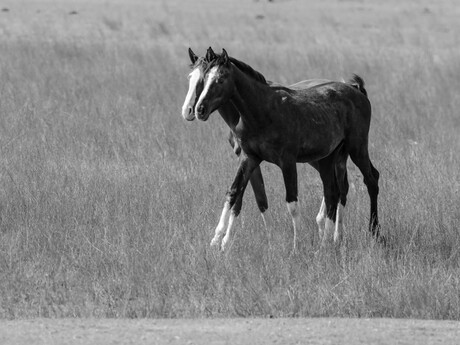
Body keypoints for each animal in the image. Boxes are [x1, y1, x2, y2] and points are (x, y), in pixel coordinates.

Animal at [183, 47, 380, 250]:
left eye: (220, 79)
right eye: (201, 78)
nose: (197, 110)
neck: (261, 111)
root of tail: (357, 90)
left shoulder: (287, 161)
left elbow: (291, 202)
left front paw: (297, 245)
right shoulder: (249, 158)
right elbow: (236, 193)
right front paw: (218, 240)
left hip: (357, 148)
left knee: (371, 180)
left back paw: (373, 232)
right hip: (329, 157)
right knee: (334, 192)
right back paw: (328, 241)